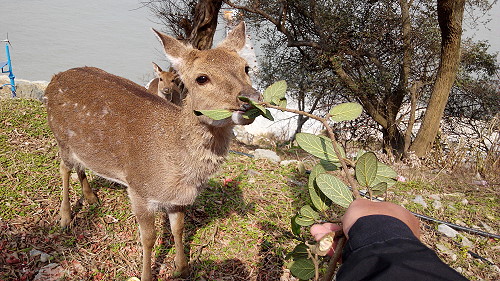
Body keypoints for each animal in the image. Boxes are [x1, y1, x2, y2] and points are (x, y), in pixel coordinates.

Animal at [45, 22, 260, 280]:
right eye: (201, 78)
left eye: (246, 67)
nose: (251, 99)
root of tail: (53, 80)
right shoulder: (139, 189)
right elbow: (148, 238)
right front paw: (147, 274)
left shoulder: (177, 200)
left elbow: (178, 229)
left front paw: (181, 268)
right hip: (61, 137)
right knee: (63, 167)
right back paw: (65, 218)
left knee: (80, 165)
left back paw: (92, 198)